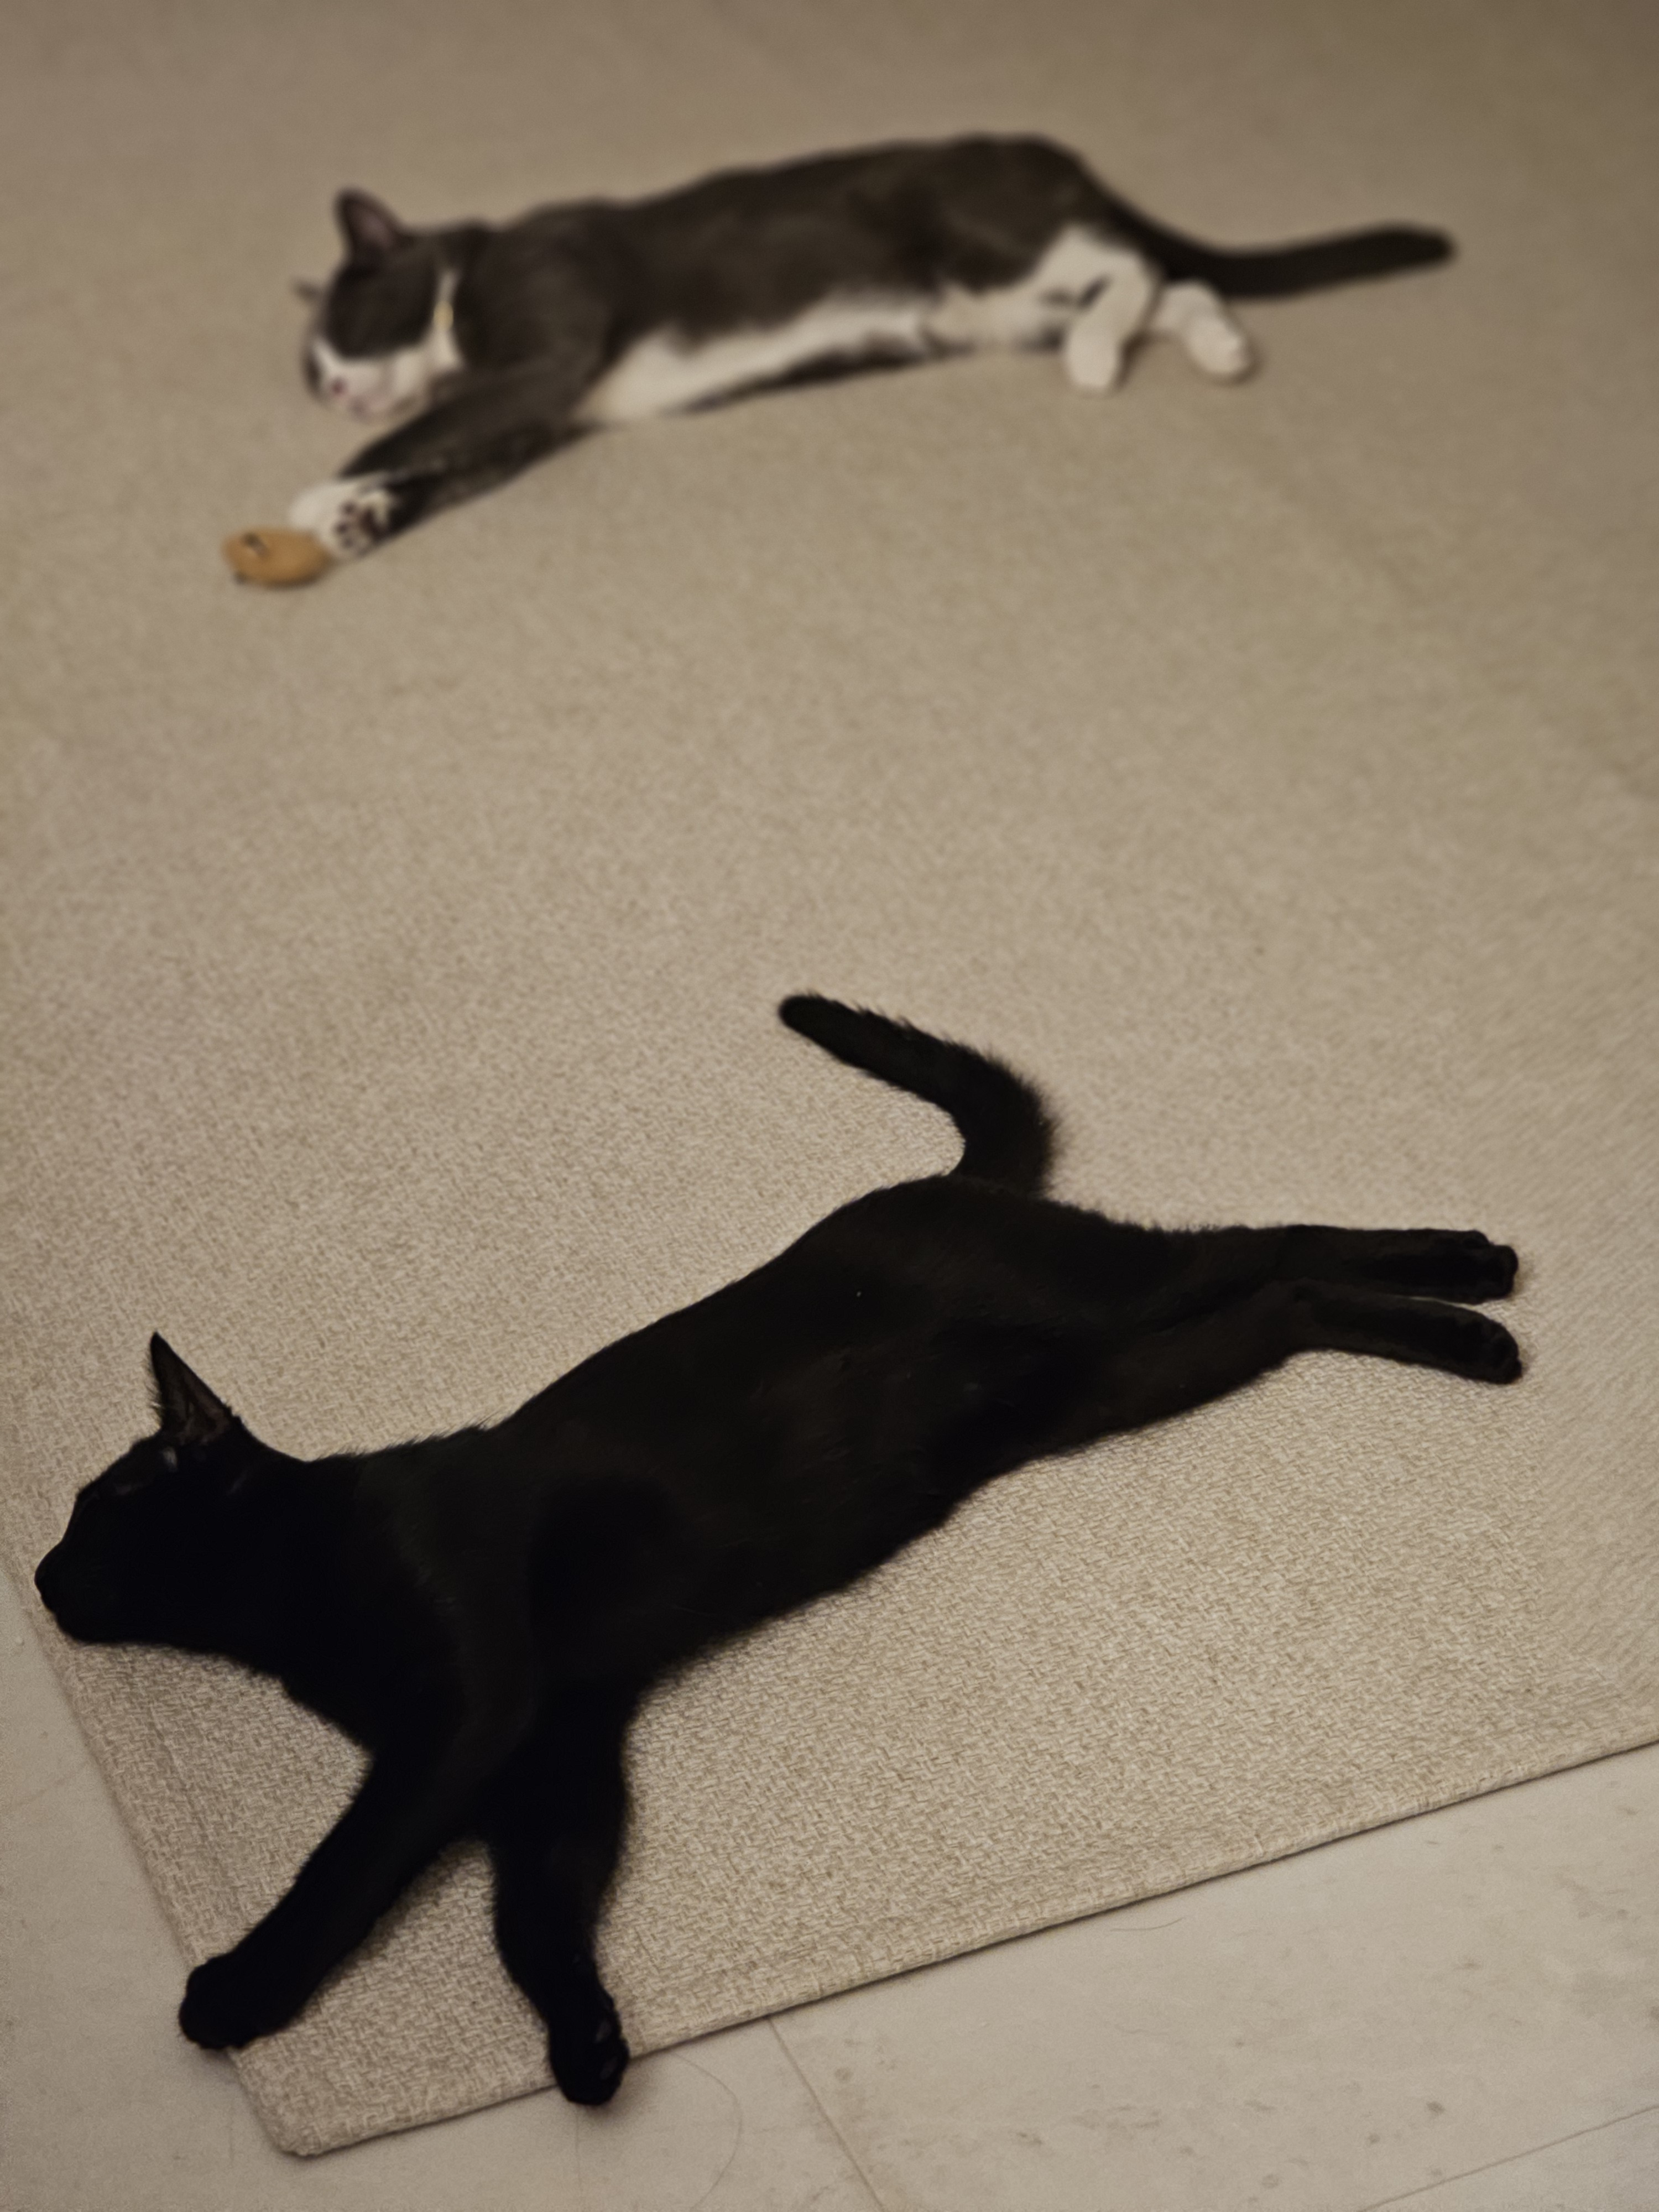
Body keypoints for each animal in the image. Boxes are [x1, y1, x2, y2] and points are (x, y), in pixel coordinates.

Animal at [34, 997, 1519, 2108]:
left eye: (96, 1513)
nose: (40, 1578)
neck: (303, 1592)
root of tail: (945, 1184)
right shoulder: (557, 1750)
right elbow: (535, 1910)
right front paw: (586, 2043)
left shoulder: (470, 1711)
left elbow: (349, 1863)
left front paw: (239, 1989)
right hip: (1121, 1378)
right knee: (1287, 1298)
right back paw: (1467, 1328)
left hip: (1118, 1300)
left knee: (1270, 1238)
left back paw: (1478, 1274)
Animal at [285, 135, 1453, 561]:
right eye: (314, 370)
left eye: (346, 332)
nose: (333, 388)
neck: (466, 284)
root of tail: (1052, 151)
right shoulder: (539, 417)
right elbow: (446, 468)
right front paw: (354, 516)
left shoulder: (547, 353)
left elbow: (430, 426)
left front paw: (313, 493)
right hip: (1011, 303)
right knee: (1178, 282)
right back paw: (1213, 352)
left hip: (994, 243)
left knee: (1135, 263)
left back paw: (1099, 359)